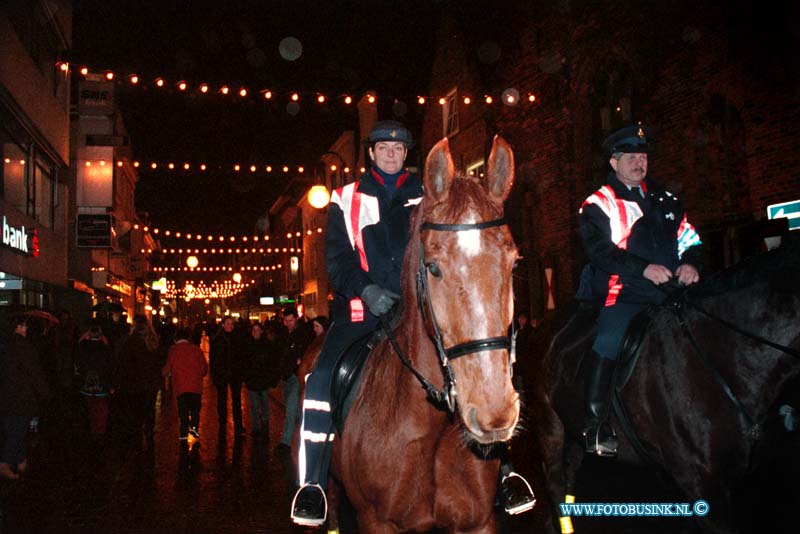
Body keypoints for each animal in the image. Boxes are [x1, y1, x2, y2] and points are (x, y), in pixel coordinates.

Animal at [304, 136, 520, 532]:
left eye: (513, 264)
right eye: (433, 267)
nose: (493, 411)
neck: (434, 423)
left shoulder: (478, 521)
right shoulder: (377, 521)